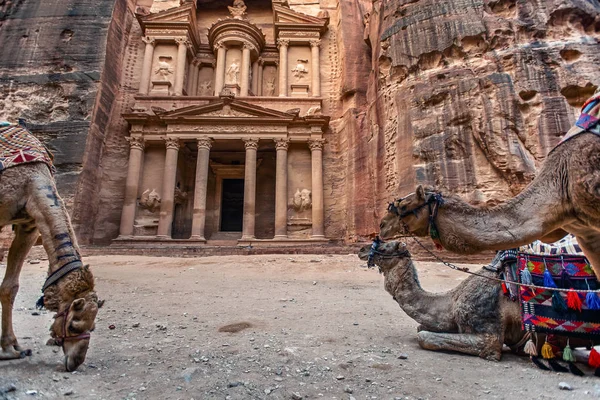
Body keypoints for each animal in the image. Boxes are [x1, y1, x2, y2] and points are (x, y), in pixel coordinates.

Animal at [0, 122, 101, 372]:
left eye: (93, 326)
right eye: (73, 325)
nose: (76, 361)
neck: (30, 179)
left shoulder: (29, 227)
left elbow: (10, 286)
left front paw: (11, 347)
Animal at [358, 239, 524, 360]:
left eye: (385, 247)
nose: (361, 250)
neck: (453, 301)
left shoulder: (489, 335)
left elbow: (424, 336)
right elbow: (421, 328)